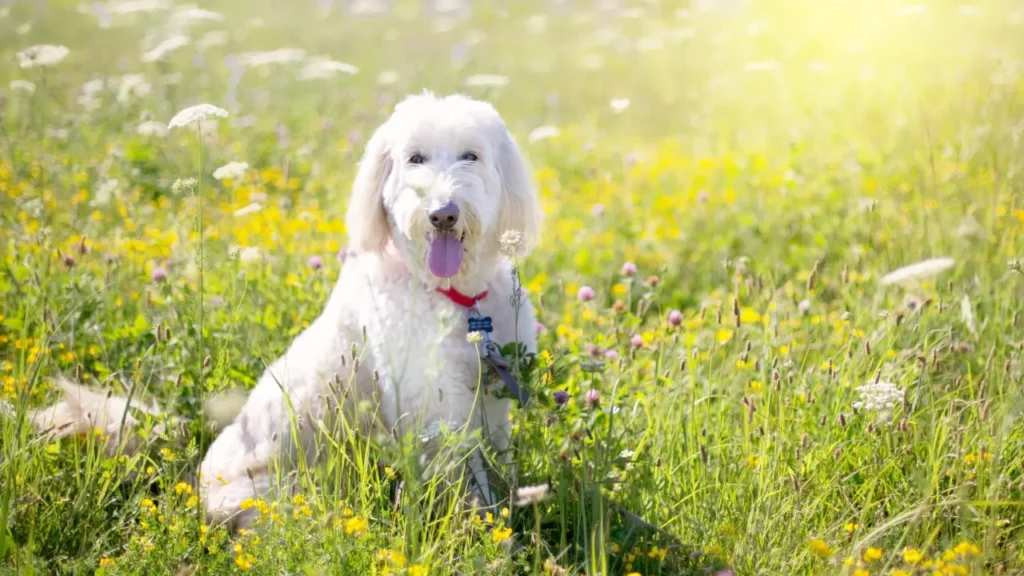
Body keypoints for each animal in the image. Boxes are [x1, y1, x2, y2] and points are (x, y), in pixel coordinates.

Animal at [194, 91, 540, 528]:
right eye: (415, 159)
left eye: (471, 156)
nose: (442, 214)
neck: (453, 297)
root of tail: (202, 492)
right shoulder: (439, 408)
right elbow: (465, 479)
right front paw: (482, 526)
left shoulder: (490, 396)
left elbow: (496, 455)